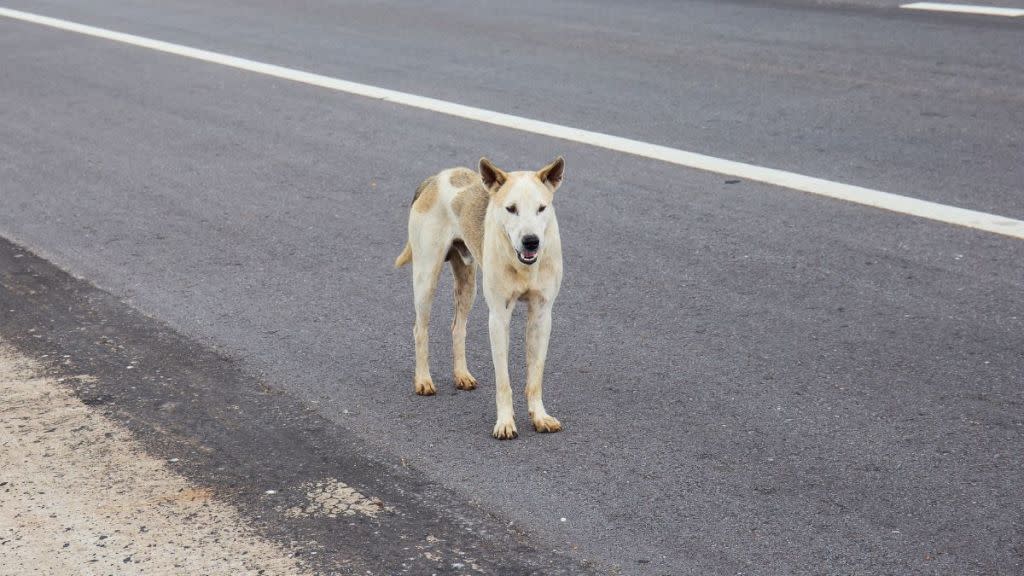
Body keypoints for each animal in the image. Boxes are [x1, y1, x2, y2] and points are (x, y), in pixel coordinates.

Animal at [393, 156, 569, 438]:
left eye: (542, 208)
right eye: (511, 209)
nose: (531, 241)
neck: (523, 265)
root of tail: (437, 177)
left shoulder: (542, 316)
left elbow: (535, 376)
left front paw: (539, 416)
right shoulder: (498, 317)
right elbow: (503, 380)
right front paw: (505, 422)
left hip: (468, 284)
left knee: (457, 327)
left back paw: (461, 375)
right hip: (426, 278)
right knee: (420, 329)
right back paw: (423, 380)